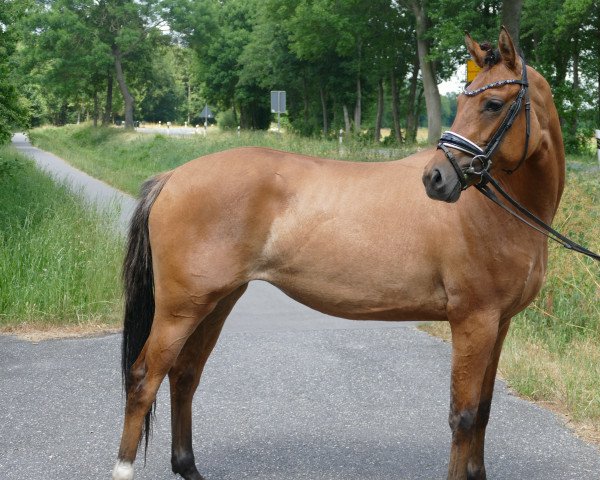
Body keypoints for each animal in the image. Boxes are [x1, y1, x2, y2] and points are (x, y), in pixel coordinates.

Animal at [113, 29, 568, 480]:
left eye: (492, 103)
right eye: (466, 101)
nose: (436, 179)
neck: (492, 212)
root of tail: (173, 177)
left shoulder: (499, 323)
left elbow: (485, 411)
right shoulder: (474, 321)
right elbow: (465, 416)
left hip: (217, 301)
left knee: (184, 375)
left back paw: (188, 466)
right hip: (180, 309)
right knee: (144, 379)